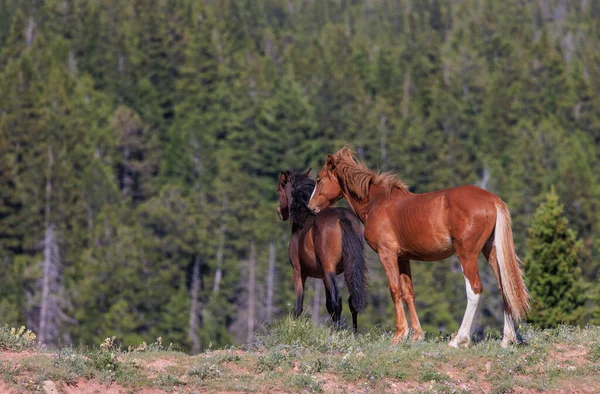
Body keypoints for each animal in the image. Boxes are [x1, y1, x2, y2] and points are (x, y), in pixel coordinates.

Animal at [278, 169, 368, 332]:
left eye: (279, 189)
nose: (280, 212)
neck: (303, 220)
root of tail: (341, 218)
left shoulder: (298, 271)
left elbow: (298, 307)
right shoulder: (324, 277)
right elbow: (328, 306)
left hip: (328, 269)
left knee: (337, 299)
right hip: (347, 268)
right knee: (352, 300)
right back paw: (354, 333)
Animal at [310, 148, 528, 348]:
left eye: (319, 179)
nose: (311, 207)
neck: (377, 203)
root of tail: (492, 199)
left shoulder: (387, 254)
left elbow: (395, 290)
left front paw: (400, 335)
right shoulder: (403, 258)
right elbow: (408, 293)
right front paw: (417, 335)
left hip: (467, 254)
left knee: (474, 290)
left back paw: (459, 339)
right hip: (490, 252)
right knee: (504, 287)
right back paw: (507, 339)